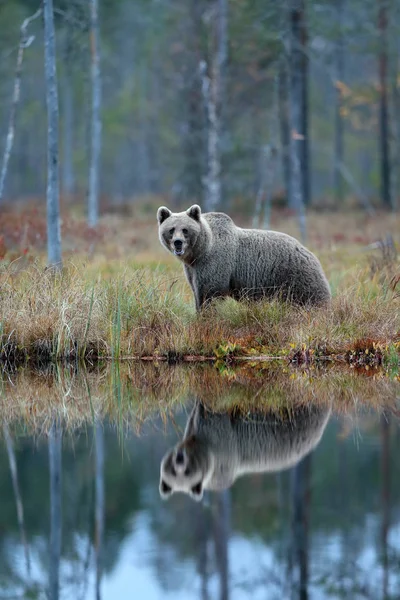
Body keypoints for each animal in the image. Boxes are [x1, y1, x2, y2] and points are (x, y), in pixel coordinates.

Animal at [157, 205, 332, 310]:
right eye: (171, 229)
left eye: (185, 230)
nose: (178, 243)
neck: (201, 250)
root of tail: (309, 252)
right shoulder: (193, 269)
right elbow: (198, 293)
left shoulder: (215, 263)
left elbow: (210, 293)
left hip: (294, 275)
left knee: (311, 299)